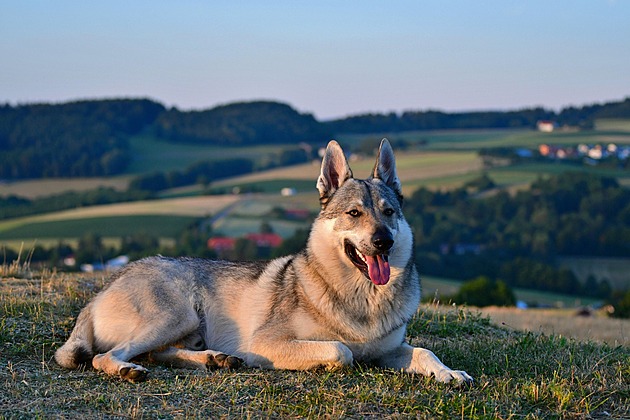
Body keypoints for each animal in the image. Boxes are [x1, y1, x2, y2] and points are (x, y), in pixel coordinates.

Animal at [55, 140, 474, 384]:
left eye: (388, 212)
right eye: (354, 213)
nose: (383, 241)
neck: (362, 299)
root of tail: (101, 292)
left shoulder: (389, 350)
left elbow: (426, 352)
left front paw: (451, 373)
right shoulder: (268, 341)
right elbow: (341, 350)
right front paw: (325, 361)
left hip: (183, 327)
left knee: (161, 354)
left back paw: (215, 360)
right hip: (176, 316)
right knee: (108, 356)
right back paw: (130, 370)